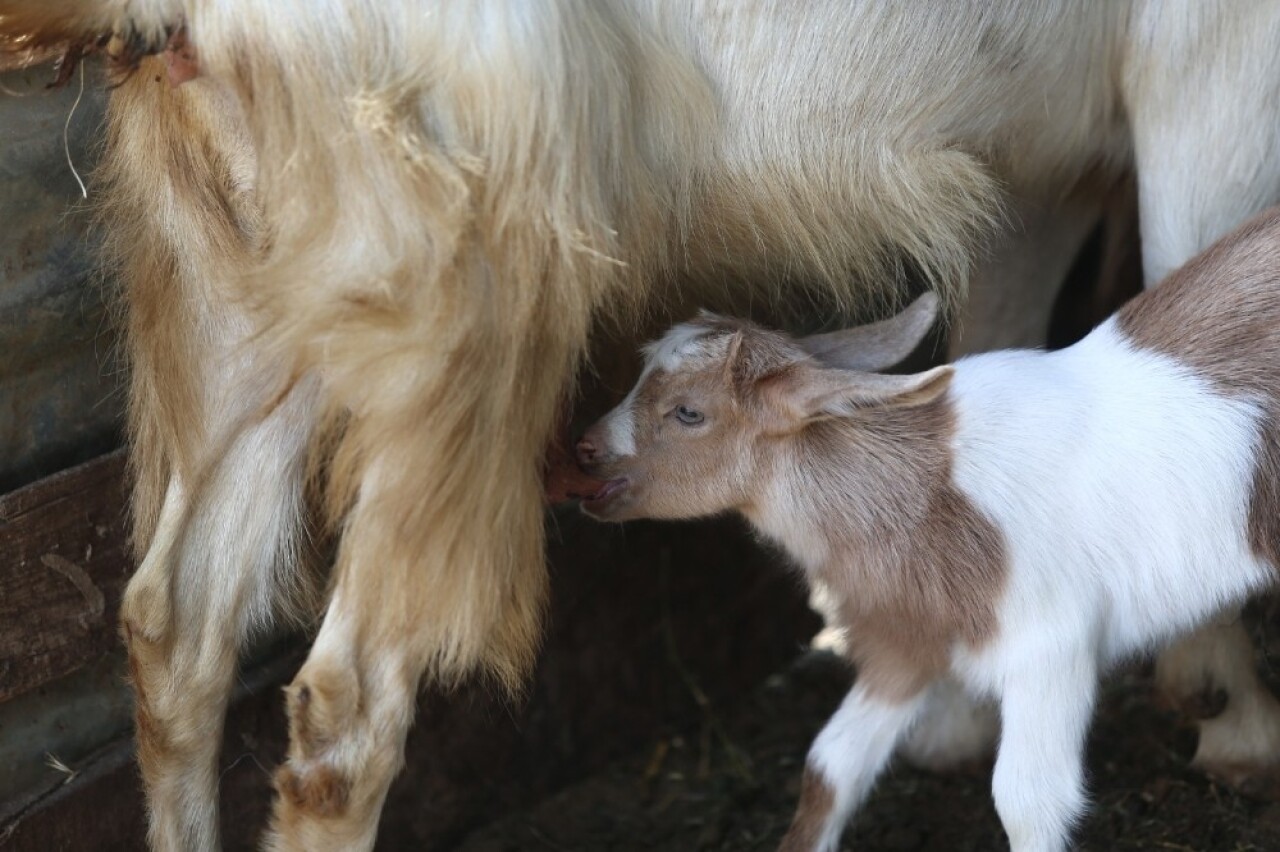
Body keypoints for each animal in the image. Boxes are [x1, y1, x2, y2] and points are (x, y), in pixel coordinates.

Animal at [576, 207, 1280, 849]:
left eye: (688, 412)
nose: (583, 451)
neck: (928, 489)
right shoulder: (903, 641)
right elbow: (828, 767)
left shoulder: (1049, 645)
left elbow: (1026, 801)